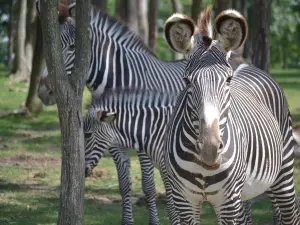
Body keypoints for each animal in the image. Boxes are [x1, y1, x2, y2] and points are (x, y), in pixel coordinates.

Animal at [162, 5, 300, 225]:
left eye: (228, 80)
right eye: (187, 81)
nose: (209, 149)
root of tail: (248, 65)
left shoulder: (228, 201)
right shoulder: (184, 200)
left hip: (283, 173)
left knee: (291, 213)